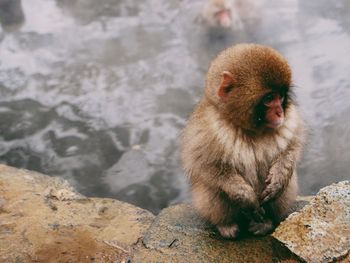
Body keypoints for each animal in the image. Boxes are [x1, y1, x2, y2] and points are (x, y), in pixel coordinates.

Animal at [182, 43, 304, 239]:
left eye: (281, 96)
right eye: (269, 98)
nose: (280, 113)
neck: (249, 129)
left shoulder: (289, 122)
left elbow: (290, 149)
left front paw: (279, 178)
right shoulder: (203, 129)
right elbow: (207, 166)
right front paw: (246, 196)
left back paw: (265, 223)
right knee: (212, 188)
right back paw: (226, 225)